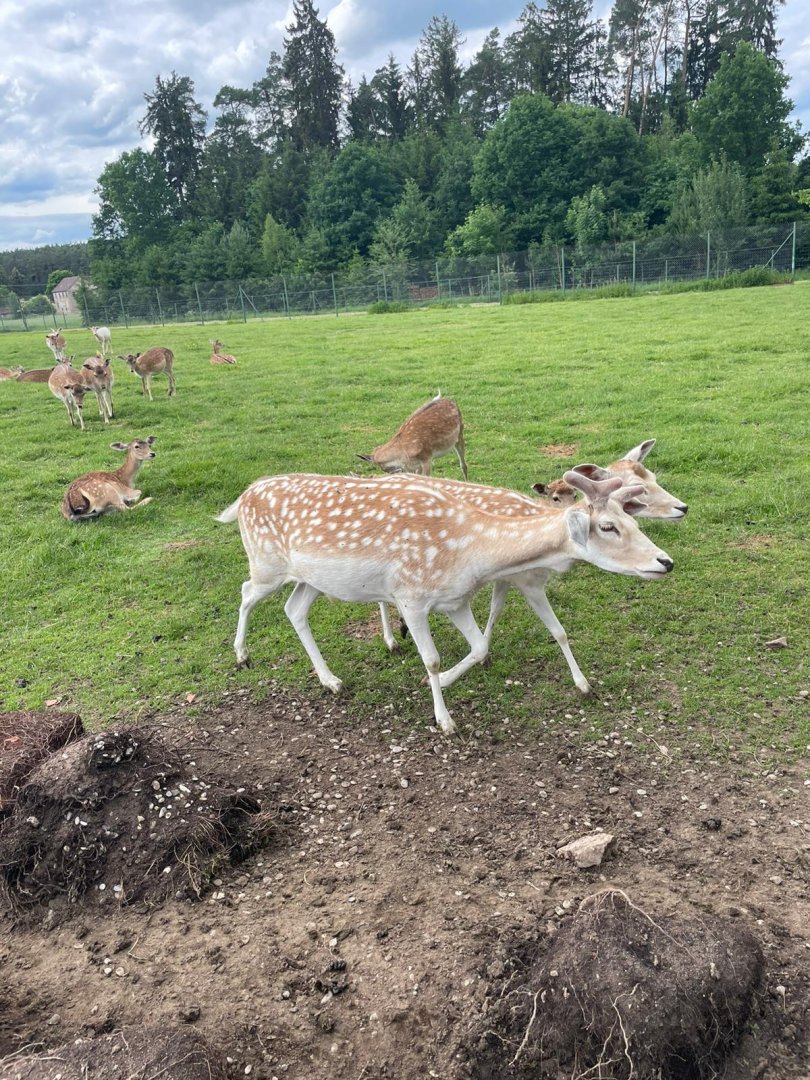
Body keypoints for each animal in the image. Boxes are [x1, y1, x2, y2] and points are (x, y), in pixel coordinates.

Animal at [216, 470, 673, 734]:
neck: (469, 552)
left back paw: (331, 680)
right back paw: (241, 654)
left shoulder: (455, 600)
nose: (665, 561)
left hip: (312, 578)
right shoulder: (411, 596)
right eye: (608, 527)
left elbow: (481, 645)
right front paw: (444, 720)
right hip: (266, 562)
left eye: (632, 518)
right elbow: (432, 659)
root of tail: (241, 498)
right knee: (245, 591)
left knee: (293, 609)